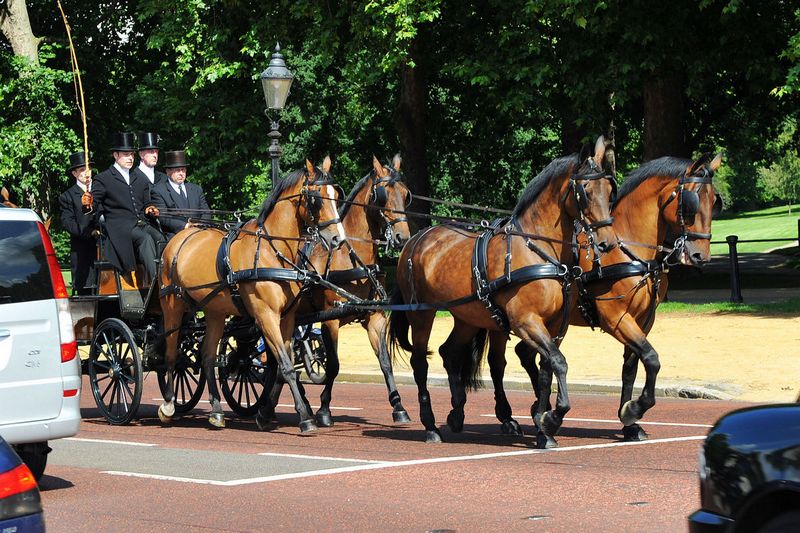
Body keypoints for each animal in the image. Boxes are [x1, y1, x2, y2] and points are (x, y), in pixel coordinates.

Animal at [158, 158, 346, 432]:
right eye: (316, 198)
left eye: (336, 195)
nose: (337, 239)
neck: (273, 250)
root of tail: (181, 237)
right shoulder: (265, 315)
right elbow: (287, 367)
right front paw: (305, 417)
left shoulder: (286, 318)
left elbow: (281, 366)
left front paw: (266, 413)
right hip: (172, 305)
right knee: (172, 354)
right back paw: (169, 404)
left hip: (214, 312)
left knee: (207, 356)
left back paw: (216, 411)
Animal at [260, 152, 416, 426]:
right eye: (383, 194)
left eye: (405, 194)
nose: (402, 237)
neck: (351, 258)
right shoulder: (330, 320)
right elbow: (333, 365)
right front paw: (324, 410)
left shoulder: (375, 316)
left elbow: (385, 363)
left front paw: (399, 407)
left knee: (278, 361)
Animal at [388, 137, 620, 444]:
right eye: (585, 191)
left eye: (609, 190)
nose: (607, 242)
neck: (538, 250)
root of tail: (414, 240)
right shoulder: (526, 321)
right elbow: (558, 362)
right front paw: (553, 416)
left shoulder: (554, 324)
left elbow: (547, 368)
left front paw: (543, 425)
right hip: (422, 314)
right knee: (420, 362)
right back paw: (430, 425)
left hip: (467, 316)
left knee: (450, 352)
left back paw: (457, 412)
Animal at [504, 151, 728, 440]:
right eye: (691, 201)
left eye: (714, 201)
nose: (701, 255)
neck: (627, 249)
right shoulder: (616, 318)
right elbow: (651, 358)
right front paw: (634, 409)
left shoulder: (644, 319)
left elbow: (632, 366)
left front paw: (630, 422)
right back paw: (515, 417)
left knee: (528, 354)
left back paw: (536, 411)